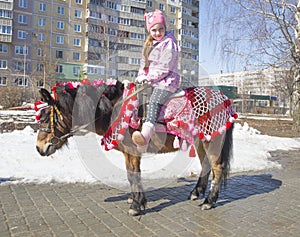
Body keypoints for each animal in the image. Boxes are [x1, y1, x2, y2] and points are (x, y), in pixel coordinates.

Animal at [35, 80, 234, 216]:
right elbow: (131, 175)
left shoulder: (132, 151)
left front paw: (137, 205)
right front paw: (135, 199)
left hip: (212, 141)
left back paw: (209, 201)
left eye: (44, 117)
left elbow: (133, 175)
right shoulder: (128, 153)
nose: (39, 148)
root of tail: (224, 98)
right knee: (206, 166)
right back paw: (196, 193)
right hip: (202, 140)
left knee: (217, 168)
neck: (114, 109)